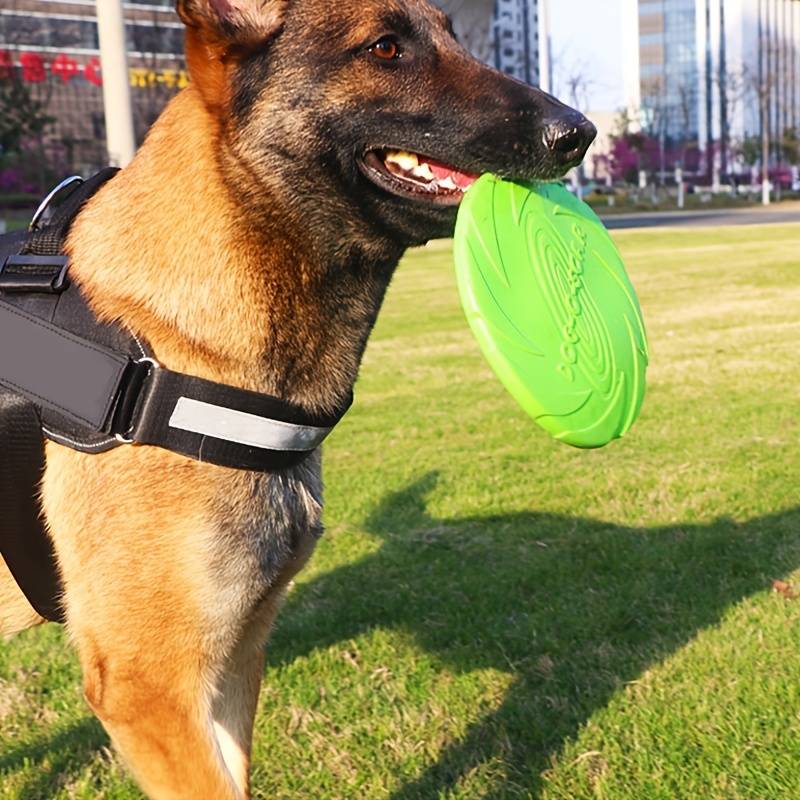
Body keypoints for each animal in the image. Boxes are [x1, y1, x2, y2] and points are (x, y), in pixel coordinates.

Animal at [0, 1, 596, 792]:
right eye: (385, 47)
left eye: (452, 33)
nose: (579, 133)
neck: (170, 343)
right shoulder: (149, 687)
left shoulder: (231, 661)